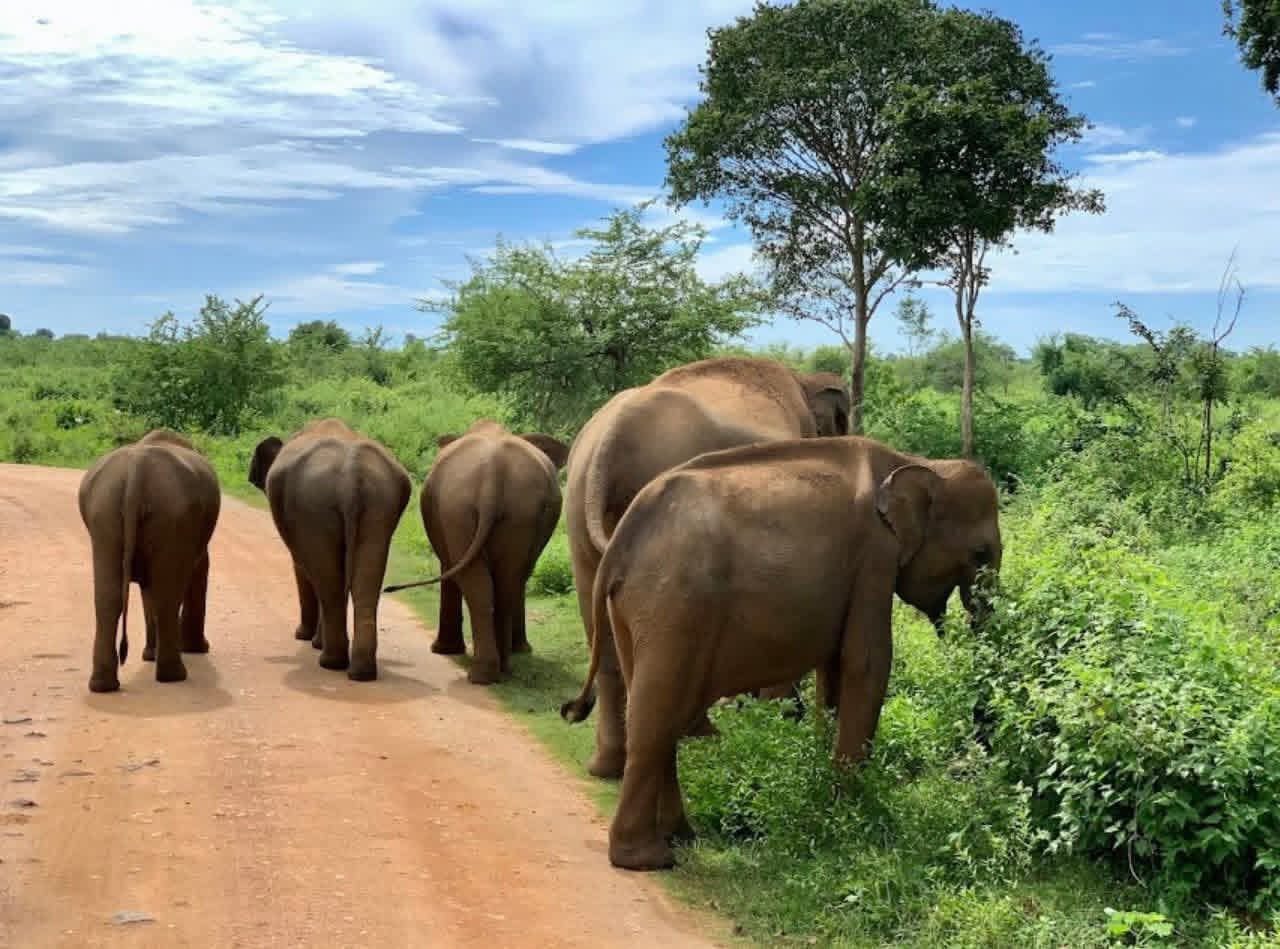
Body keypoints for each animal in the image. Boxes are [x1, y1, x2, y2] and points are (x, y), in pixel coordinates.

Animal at [78, 429, 222, 693]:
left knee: (109, 597)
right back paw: (173, 676)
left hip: (105, 513)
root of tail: (138, 468)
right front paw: (197, 649)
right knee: (167, 593)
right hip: (170, 516)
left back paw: (103, 685)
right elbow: (198, 569)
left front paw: (150, 655)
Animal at [249, 418, 411, 682]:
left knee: (329, 583)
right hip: (379, 504)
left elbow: (303, 568)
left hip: (312, 507)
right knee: (363, 585)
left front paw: (304, 637)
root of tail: (352, 473)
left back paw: (330, 661)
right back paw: (361, 672)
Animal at [385, 420, 569, 685]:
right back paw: (496, 670)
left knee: (487, 583)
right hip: (500, 511)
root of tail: (494, 472)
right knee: (504, 582)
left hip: (468, 509)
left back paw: (486, 672)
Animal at [560, 435, 1002, 870]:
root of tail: (619, 543)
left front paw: (828, 796)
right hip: (674, 602)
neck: (915, 461)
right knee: (657, 712)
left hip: (635, 609)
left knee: (656, 704)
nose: (965, 767)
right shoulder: (875, 555)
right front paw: (848, 818)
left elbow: (834, 671)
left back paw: (679, 838)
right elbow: (867, 663)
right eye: (980, 554)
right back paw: (646, 859)